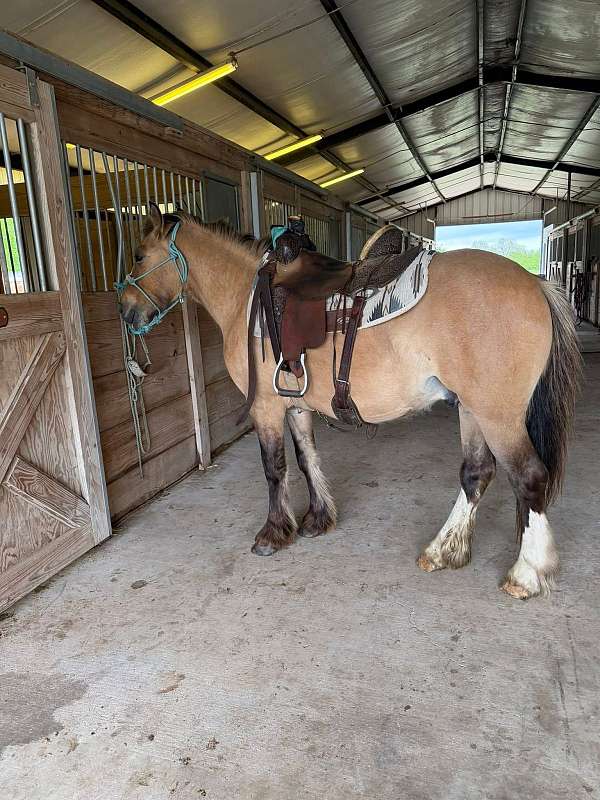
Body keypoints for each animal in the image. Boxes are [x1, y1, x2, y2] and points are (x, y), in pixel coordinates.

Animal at [119, 204, 581, 600]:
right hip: (470, 410)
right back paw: (443, 551)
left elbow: (274, 469)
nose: (125, 311)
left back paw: (526, 574)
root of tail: (536, 283)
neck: (247, 298)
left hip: (497, 416)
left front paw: (273, 534)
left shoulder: (265, 408)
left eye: (138, 256)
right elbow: (307, 459)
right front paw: (317, 519)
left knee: (529, 477)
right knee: (477, 474)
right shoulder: (296, 405)